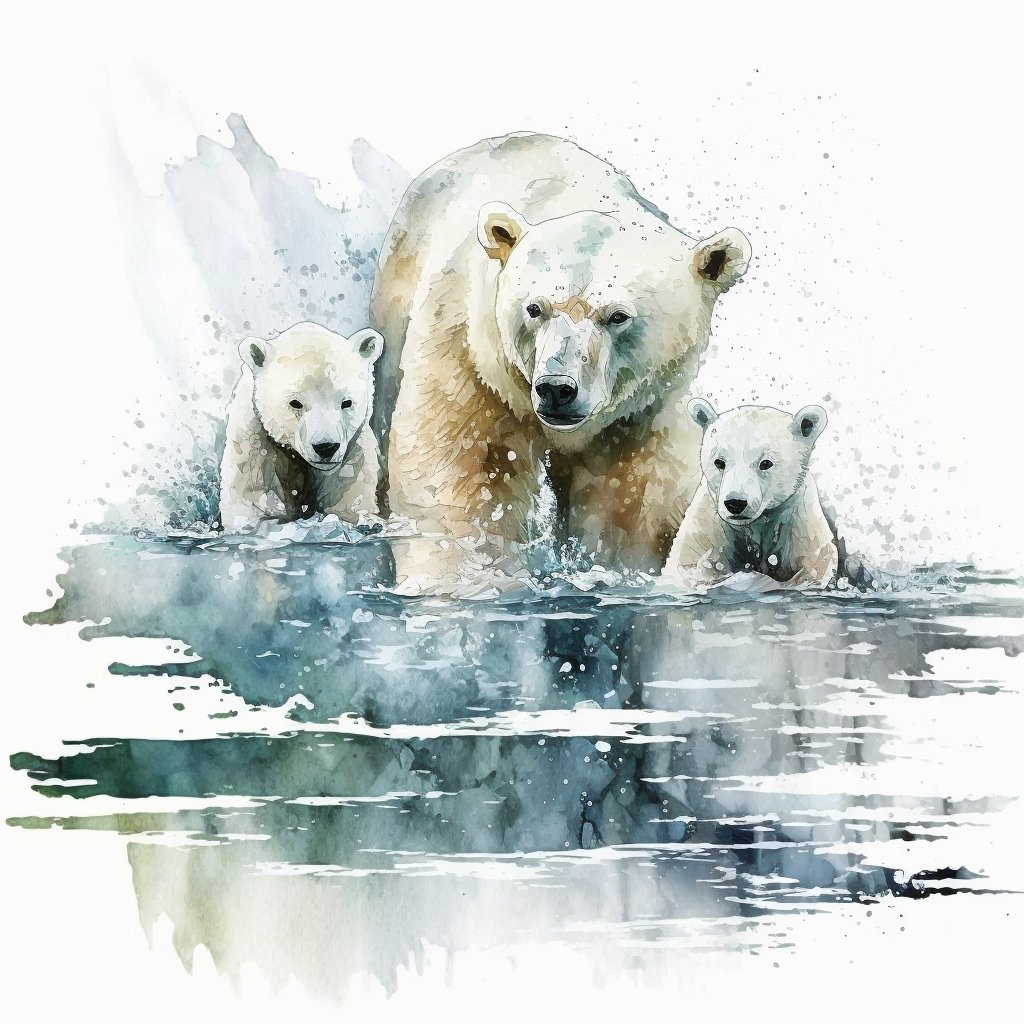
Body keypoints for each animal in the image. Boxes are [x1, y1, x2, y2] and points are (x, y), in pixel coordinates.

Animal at [219, 321, 384, 532]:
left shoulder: (353, 445)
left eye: (346, 402)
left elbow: (349, 484)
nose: (326, 447)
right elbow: (248, 497)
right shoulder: (254, 437)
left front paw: (366, 520)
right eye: (295, 403)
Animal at [370, 132, 751, 587]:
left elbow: (632, 504)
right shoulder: (471, 351)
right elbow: (463, 473)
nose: (556, 389)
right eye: (535, 308)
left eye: (617, 316)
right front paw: (468, 575)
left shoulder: (642, 412)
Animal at [663, 399, 838, 588]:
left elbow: (812, 565)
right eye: (719, 462)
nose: (735, 503)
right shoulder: (709, 520)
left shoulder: (798, 521)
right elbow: (690, 564)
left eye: (766, 463)